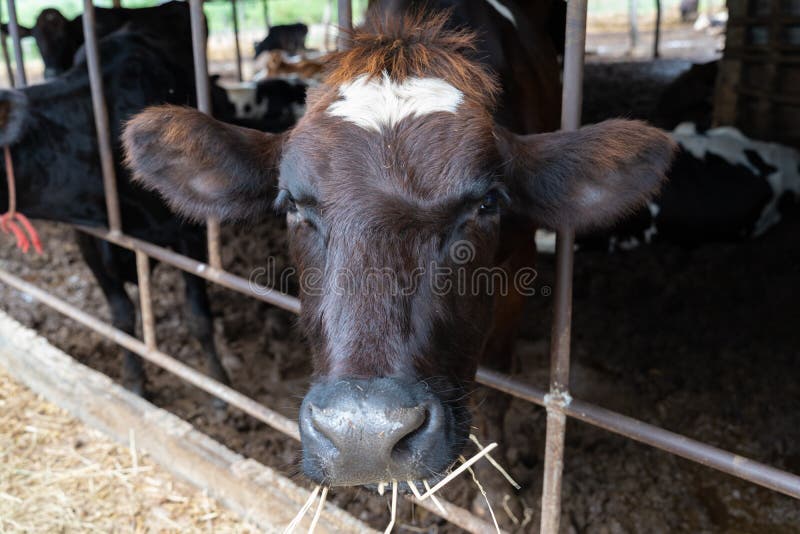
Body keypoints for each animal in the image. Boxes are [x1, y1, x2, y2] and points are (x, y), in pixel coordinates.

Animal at [0, 27, 231, 400]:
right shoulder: (90, 239)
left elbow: (198, 316)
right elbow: (121, 317)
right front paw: (133, 382)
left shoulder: (190, 233)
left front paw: (217, 385)